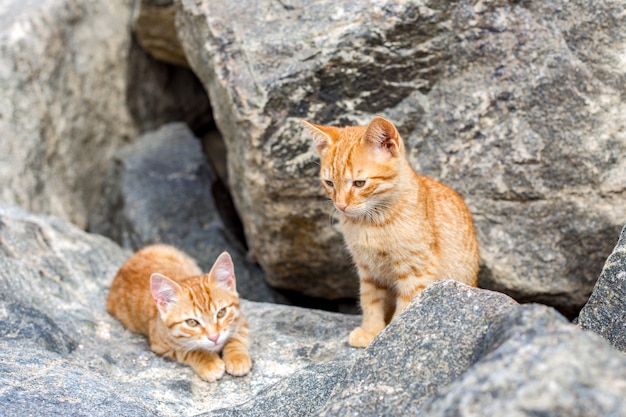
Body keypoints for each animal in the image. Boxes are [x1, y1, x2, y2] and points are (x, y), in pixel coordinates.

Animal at [106, 244, 250, 380]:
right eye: (192, 322)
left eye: (221, 312)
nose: (214, 337)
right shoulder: (161, 346)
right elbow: (190, 351)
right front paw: (209, 362)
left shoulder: (240, 320)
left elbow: (237, 336)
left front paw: (237, 357)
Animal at [302, 115, 478, 346]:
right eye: (329, 183)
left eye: (359, 183)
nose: (340, 205)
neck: (372, 223)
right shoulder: (368, 270)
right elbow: (370, 300)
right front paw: (371, 331)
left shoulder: (416, 270)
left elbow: (406, 306)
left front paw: (390, 335)